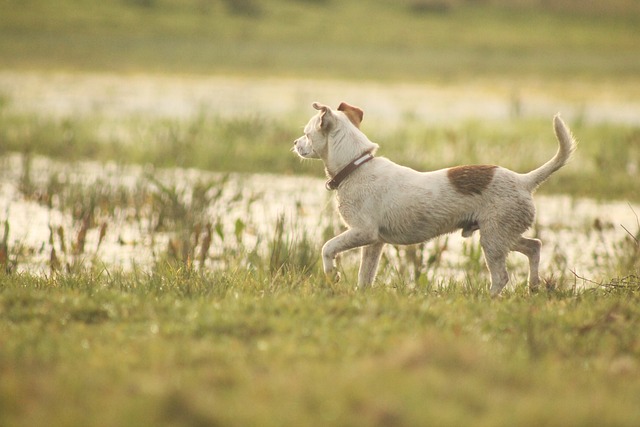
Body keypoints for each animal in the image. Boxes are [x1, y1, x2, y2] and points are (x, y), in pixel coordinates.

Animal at [292, 103, 576, 298]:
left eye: (306, 133)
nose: (294, 142)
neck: (355, 166)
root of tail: (524, 180)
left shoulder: (363, 232)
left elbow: (327, 247)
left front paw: (332, 274)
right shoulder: (374, 243)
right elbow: (365, 276)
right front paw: (360, 296)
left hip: (493, 241)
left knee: (501, 277)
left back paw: (490, 299)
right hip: (503, 234)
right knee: (534, 246)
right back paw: (534, 286)